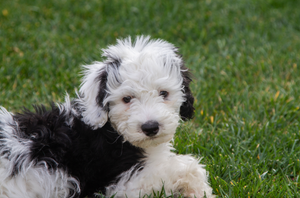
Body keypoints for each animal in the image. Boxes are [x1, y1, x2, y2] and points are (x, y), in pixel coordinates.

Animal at [0, 36, 213, 197]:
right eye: (126, 99)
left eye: (164, 93)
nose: (151, 127)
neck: (113, 132)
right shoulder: (123, 183)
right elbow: (189, 167)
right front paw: (200, 192)